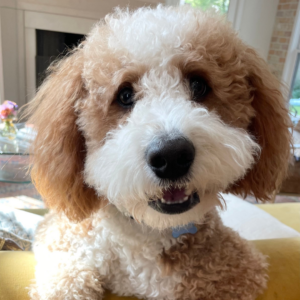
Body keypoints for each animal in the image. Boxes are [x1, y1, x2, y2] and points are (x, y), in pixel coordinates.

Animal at [27, 4, 290, 300]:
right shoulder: (59, 236)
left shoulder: (240, 269)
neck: (149, 230)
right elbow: (65, 278)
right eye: (125, 95)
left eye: (199, 85)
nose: (171, 157)